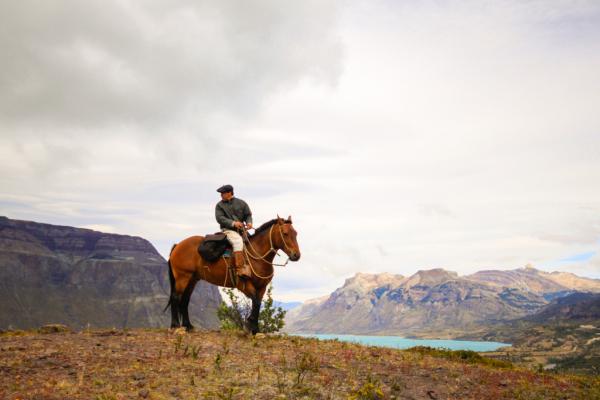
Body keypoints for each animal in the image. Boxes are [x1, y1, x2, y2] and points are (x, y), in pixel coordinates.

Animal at [165, 216, 300, 334]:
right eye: (285, 233)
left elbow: (257, 304)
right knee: (175, 297)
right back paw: (175, 325)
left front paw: (255, 329)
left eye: (296, 233)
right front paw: (250, 325)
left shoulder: (262, 288)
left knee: (185, 300)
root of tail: (178, 245)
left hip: (192, 279)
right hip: (182, 277)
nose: (296, 255)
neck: (256, 256)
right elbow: (256, 302)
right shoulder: (245, 285)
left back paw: (188, 326)